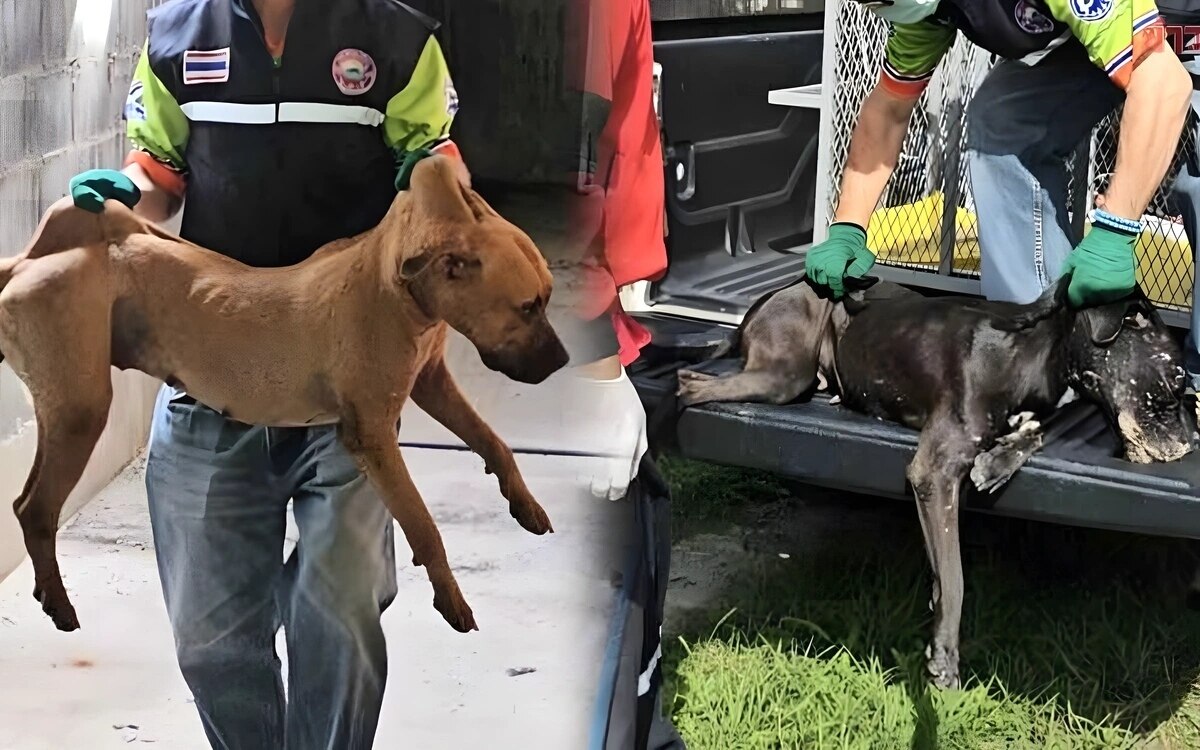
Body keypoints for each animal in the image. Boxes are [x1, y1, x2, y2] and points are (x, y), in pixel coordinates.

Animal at [1, 154, 571, 633]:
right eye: (527, 306)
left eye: (545, 299)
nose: (564, 362)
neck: (399, 286)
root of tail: (26, 262)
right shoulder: (373, 437)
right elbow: (424, 524)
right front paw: (450, 596)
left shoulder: (432, 383)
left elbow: (493, 441)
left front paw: (523, 501)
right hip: (80, 410)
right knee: (35, 509)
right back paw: (59, 603)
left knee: (27, 504)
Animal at [676, 273, 1190, 686]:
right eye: (1179, 380)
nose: (1191, 442)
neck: (1032, 354)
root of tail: (766, 298)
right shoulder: (934, 472)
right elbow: (956, 577)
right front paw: (944, 654)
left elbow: (1033, 434)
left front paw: (997, 463)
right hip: (782, 374)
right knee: (688, 384)